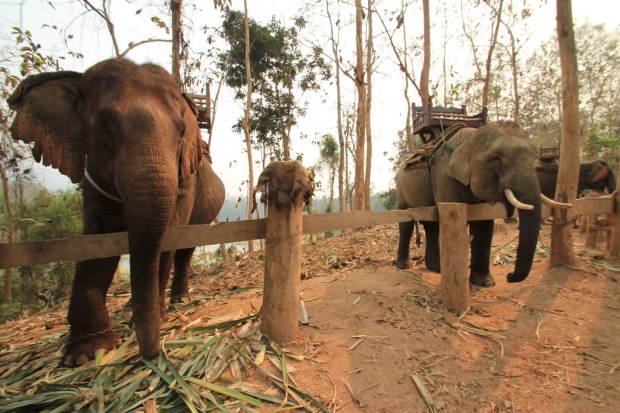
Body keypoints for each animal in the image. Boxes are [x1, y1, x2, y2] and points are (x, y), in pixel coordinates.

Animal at [7, 57, 225, 364]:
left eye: (181, 131)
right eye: (104, 125)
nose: (150, 353)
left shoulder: (187, 182)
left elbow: (169, 236)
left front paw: (148, 319)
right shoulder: (91, 179)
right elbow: (96, 241)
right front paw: (87, 353)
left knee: (185, 250)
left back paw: (178, 300)